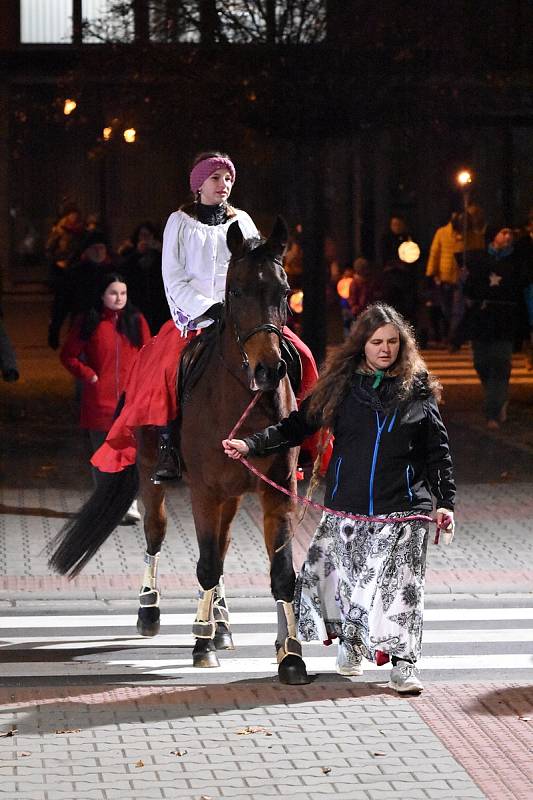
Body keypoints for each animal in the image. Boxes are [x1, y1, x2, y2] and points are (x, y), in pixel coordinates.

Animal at [50, 217, 310, 688]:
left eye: (284, 292)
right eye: (235, 291)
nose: (268, 369)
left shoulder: (276, 492)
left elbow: (281, 574)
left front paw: (290, 656)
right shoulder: (204, 490)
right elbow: (205, 564)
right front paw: (201, 644)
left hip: (231, 495)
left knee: (222, 549)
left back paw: (221, 623)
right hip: (153, 474)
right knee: (157, 536)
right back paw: (151, 611)